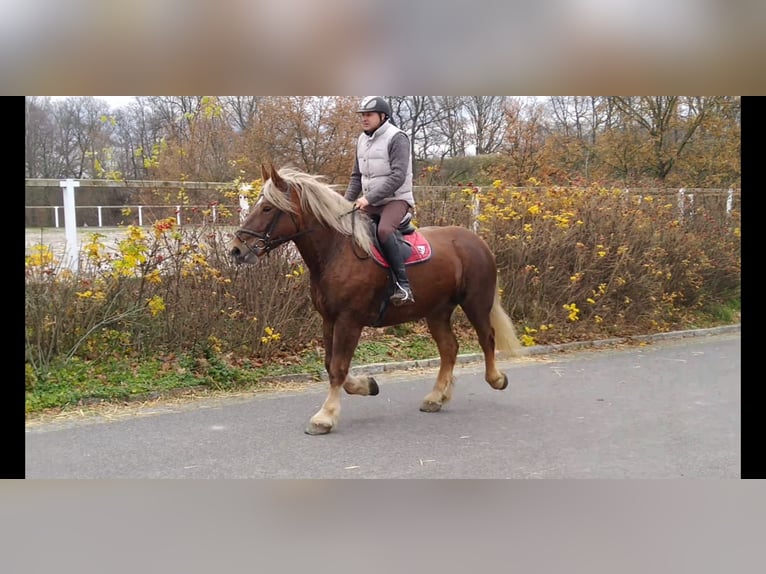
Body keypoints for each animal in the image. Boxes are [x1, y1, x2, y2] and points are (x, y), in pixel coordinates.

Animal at [230, 164, 520, 434]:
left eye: (267, 208)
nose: (237, 250)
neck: (338, 251)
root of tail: (476, 241)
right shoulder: (329, 320)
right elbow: (331, 364)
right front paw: (367, 385)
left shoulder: (349, 321)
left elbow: (338, 367)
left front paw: (325, 417)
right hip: (437, 311)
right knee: (449, 348)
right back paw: (437, 397)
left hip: (475, 303)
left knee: (487, 338)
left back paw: (496, 379)